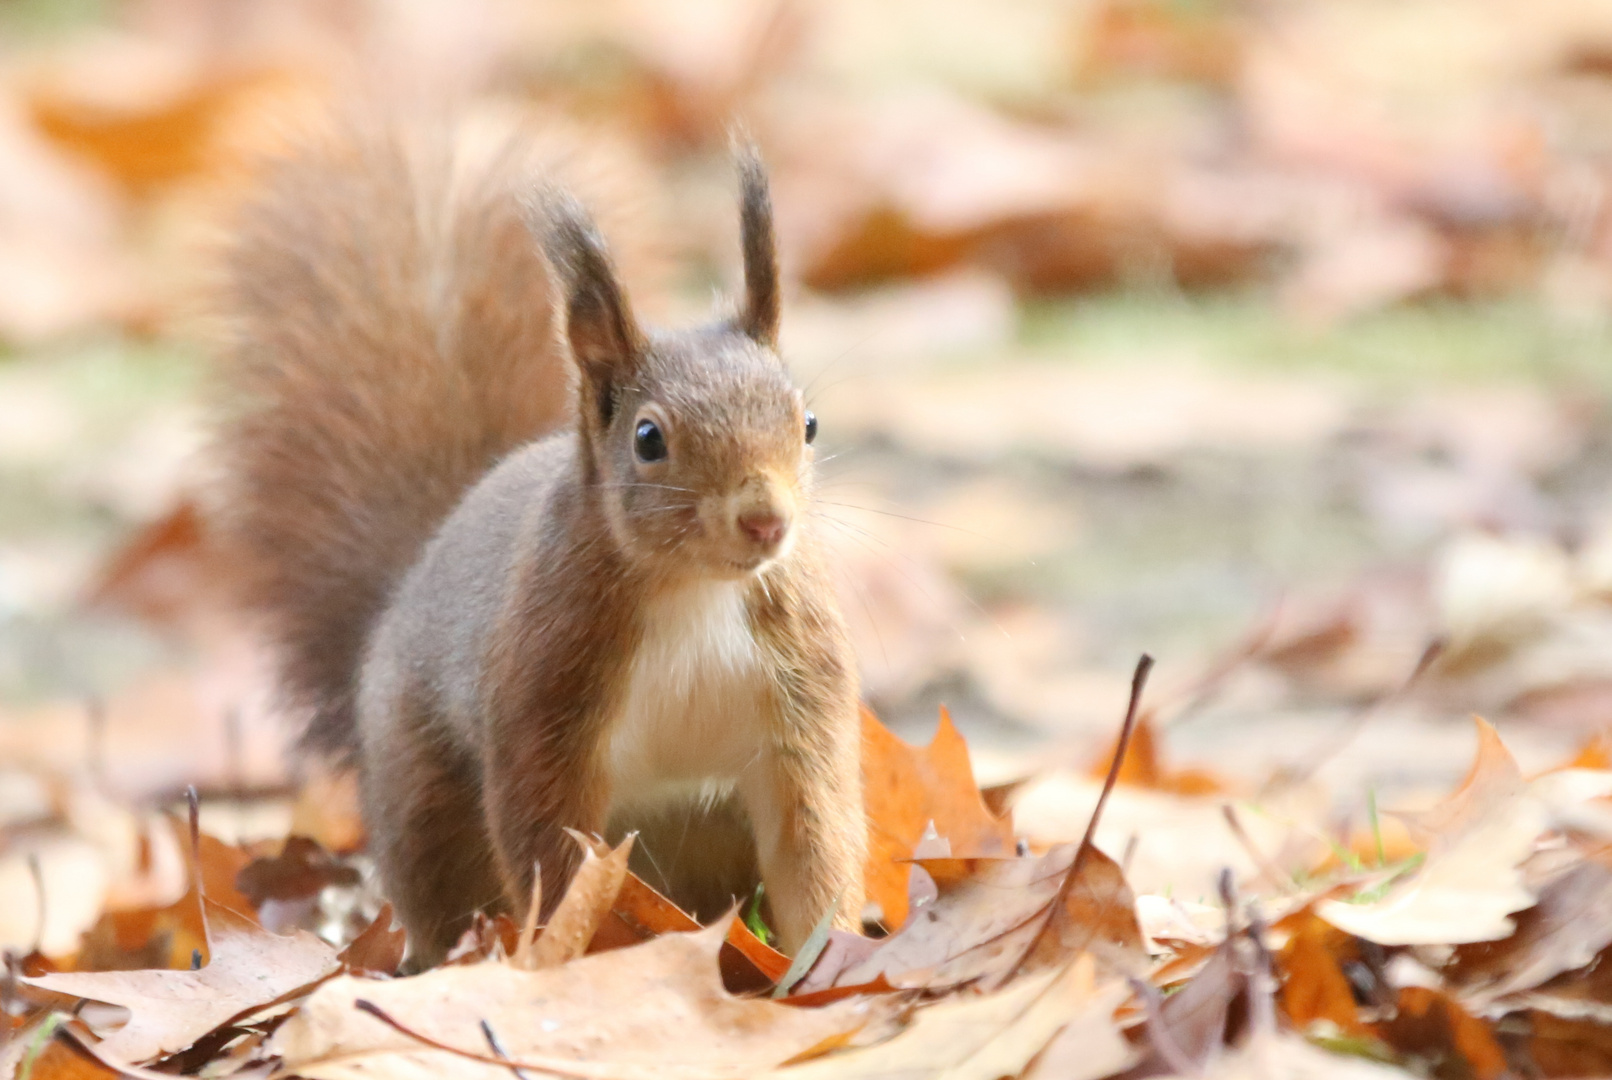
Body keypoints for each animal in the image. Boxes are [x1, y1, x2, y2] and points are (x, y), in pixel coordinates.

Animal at [217, 124, 870, 967]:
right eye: (649, 439)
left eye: (809, 423)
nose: (765, 521)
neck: (694, 588)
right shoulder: (545, 698)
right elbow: (552, 857)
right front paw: (572, 952)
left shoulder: (801, 704)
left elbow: (813, 848)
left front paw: (833, 958)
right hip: (426, 809)